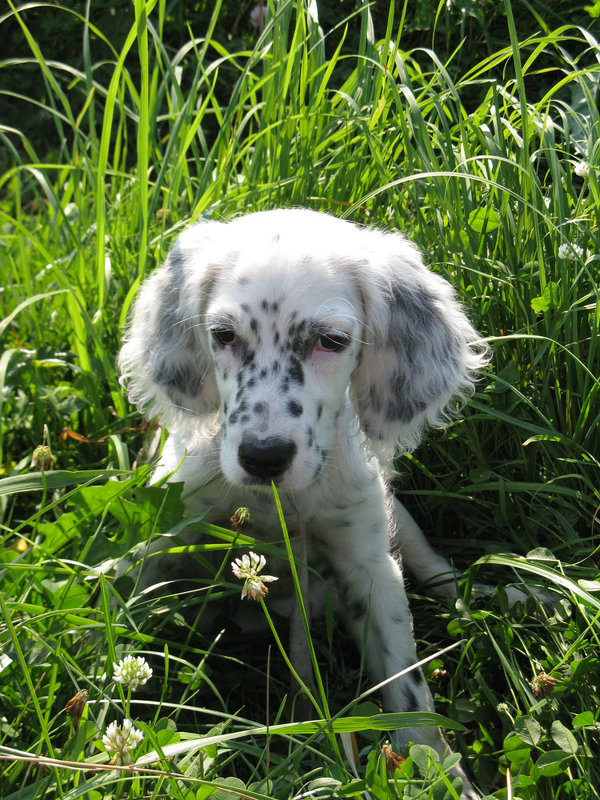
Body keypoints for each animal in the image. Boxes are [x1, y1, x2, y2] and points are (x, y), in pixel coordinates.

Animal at [119, 209, 490, 796]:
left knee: (435, 568)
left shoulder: (369, 567)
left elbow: (406, 687)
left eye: (331, 340)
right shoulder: (168, 533)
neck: (273, 502)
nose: (263, 457)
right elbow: (119, 605)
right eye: (223, 335)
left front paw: (440, 772)